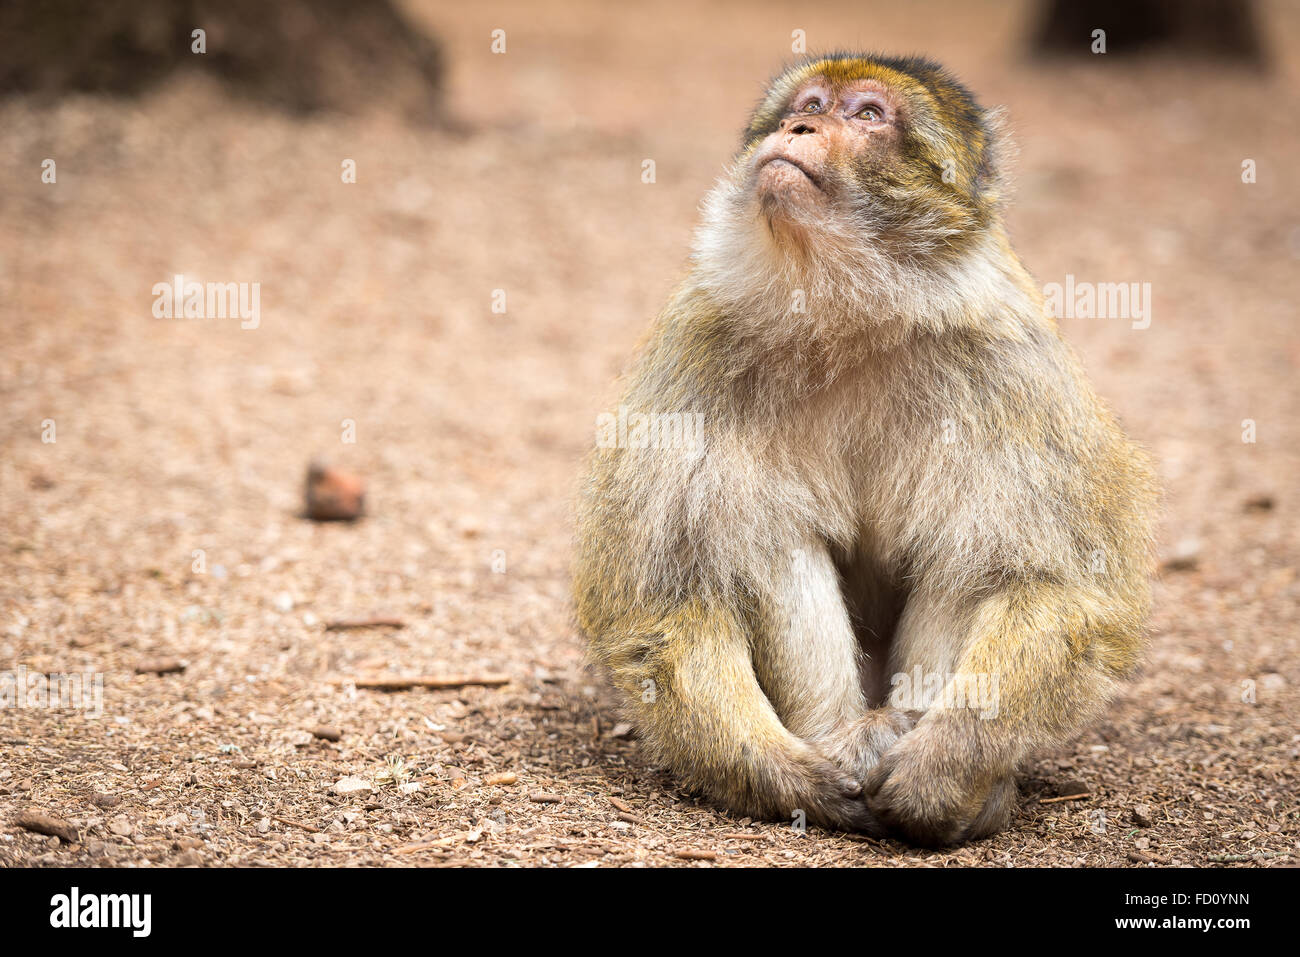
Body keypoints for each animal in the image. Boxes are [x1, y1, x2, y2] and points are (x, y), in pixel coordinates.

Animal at [574, 54, 1154, 842]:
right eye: (812, 103)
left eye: (868, 115)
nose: (799, 127)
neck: (850, 308)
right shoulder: (699, 347)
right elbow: (665, 603)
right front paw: (775, 770)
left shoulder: (1011, 363)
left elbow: (1053, 584)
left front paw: (944, 769)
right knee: (764, 533)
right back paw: (837, 739)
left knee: (969, 547)